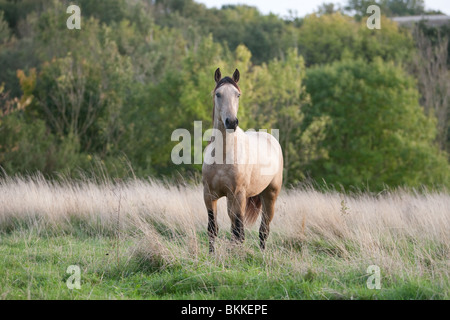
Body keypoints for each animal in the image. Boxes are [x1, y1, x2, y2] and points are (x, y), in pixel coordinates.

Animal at [202, 68, 284, 252]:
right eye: (218, 94)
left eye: (237, 94)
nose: (231, 122)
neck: (223, 156)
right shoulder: (209, 195)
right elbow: (213, 229)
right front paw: (211, 255)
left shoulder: (238, 195)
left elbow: (239, 233)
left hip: (270, 195)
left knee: (264, 229)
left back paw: (262, 253)